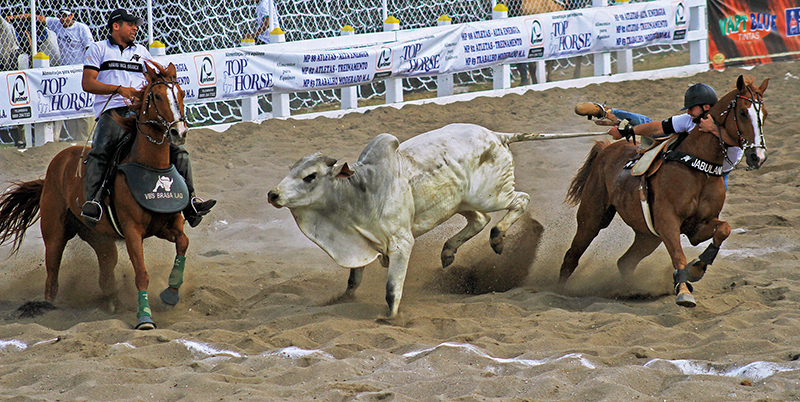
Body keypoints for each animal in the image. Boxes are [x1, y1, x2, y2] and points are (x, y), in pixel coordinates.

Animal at [0, 60, 191, 330]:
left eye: (181, 93)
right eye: (156, 96)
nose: (178, 132)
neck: (151, 166)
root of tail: (54, 168)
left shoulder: (169, 225)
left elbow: (183, 243)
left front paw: (171, 293)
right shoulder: (132, 232)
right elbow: (141, 274)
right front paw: (144, 317)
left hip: (99, 238)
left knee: (106, 272)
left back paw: (110, 301)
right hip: (55, 234)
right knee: (52, 278)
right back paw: (49, 311)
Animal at [268, 122, 544, 318]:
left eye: (310, 176)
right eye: (292, 169)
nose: (273, 194)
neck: (360, 192)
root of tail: (497, 136)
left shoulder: (401, 244)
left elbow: (392, 289)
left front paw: (389, 318)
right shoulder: (362, 241)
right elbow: (353, 280)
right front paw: (341, 300)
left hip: (491, 196)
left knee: (519, 201)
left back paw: (498, 238)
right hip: (461, 202)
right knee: (480, 219)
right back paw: (448, 252)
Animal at [556, 74, 768, 308]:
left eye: (764, 114)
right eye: (743, 112)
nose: (758, 156)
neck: (697, 167)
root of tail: (606, 149)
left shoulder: (697, 227)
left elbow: (724, 229)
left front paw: (697, 268)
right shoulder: (668, 222)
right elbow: (678, 256)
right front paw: (683, 290)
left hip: (647, 235)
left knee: (625, 262)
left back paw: (630, 289)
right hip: (592, 216)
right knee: (572, 256)